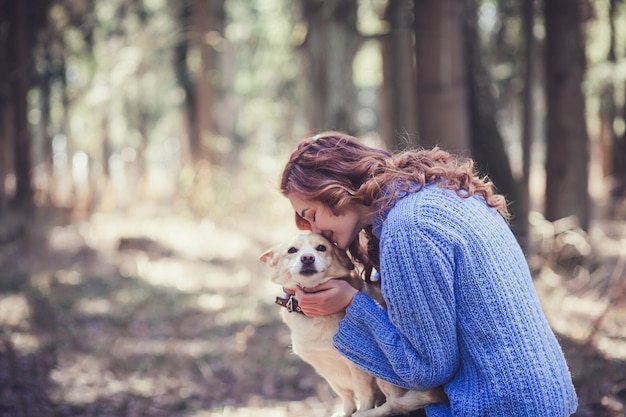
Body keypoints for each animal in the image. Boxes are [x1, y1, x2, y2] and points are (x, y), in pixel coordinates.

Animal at [258, 232, 444, 416]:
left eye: (321, 247)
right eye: (292, 250)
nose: (307, 258)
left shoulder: (359, 368)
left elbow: (364, 395)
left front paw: (361, 410)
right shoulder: (327, 371)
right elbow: (346, 396)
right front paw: (346, 411)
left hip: (385, 376)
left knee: (396, 404)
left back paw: (366, 414)